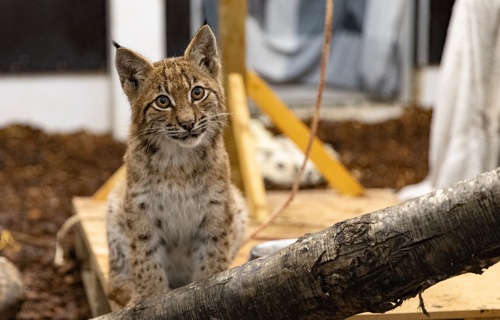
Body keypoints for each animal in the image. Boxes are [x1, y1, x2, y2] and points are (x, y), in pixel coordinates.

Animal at [106, 25, 247, 304]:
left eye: (197, 93)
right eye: (162, 101)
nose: (188, 123)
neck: (178, 160)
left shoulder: (217, 206)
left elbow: (213, 257)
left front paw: (207, 289)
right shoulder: (140, 206)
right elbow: (146, 258)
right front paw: (149, 297)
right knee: (114, 285)